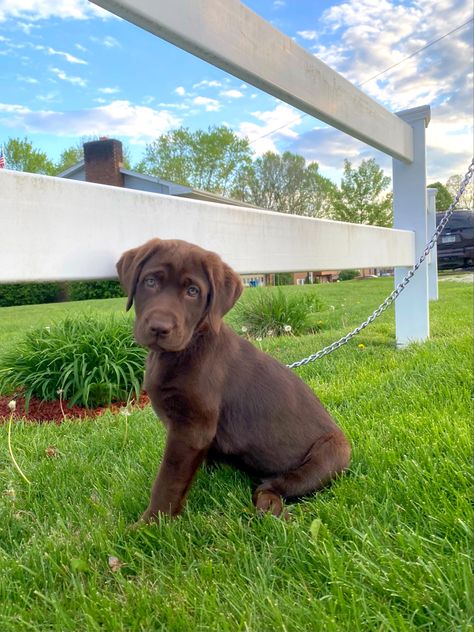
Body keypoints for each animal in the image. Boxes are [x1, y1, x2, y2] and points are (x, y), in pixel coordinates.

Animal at [116, 239, 350, 520]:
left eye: (193, 291)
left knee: (272, 486)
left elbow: (168, 480)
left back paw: (269, 505)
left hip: (333, 451)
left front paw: (152, 521)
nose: (160, 328)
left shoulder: (191, 429)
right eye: (150, 281)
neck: (188, 346)